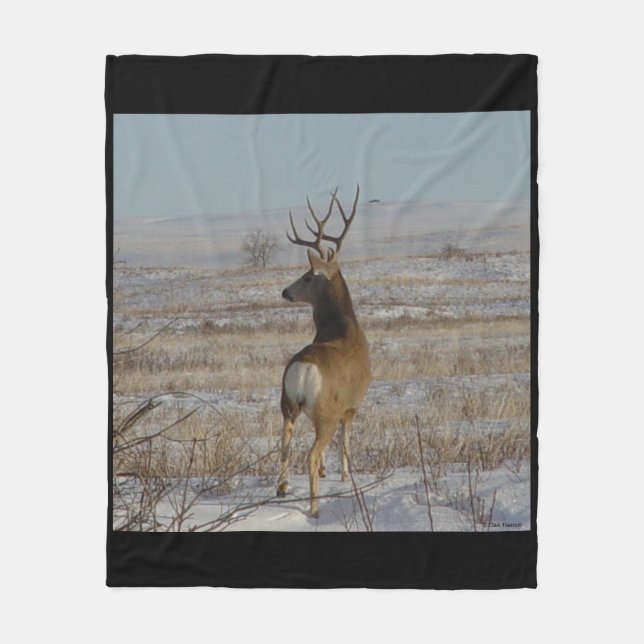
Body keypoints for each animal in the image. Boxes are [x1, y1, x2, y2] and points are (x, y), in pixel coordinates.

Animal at [277, 185, 371, 518]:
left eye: (307, 276)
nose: (285, 292)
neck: (342, 325)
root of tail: (304, 370)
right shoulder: (351, 406)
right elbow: (346, 439)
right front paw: (343, 474)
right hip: (325, 411)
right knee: (311, 452)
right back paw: (314, 507)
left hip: (287, 402)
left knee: (285, 441)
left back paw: (282, 488)